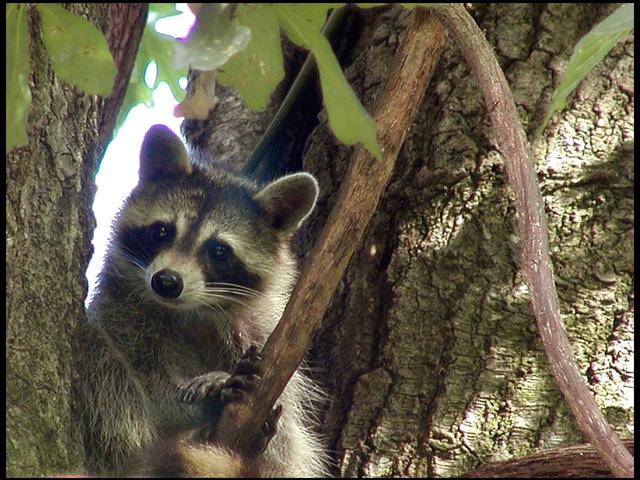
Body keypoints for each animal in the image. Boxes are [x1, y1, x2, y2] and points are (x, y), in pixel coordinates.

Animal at [79, 124, 330, 476]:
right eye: (162, 231)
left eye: (219, 251)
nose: (167, 282)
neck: (190, 310)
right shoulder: (122, 312)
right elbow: (151, 386)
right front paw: (195, 402)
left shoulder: (260, 334)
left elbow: (287, 437)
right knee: (101, 361)